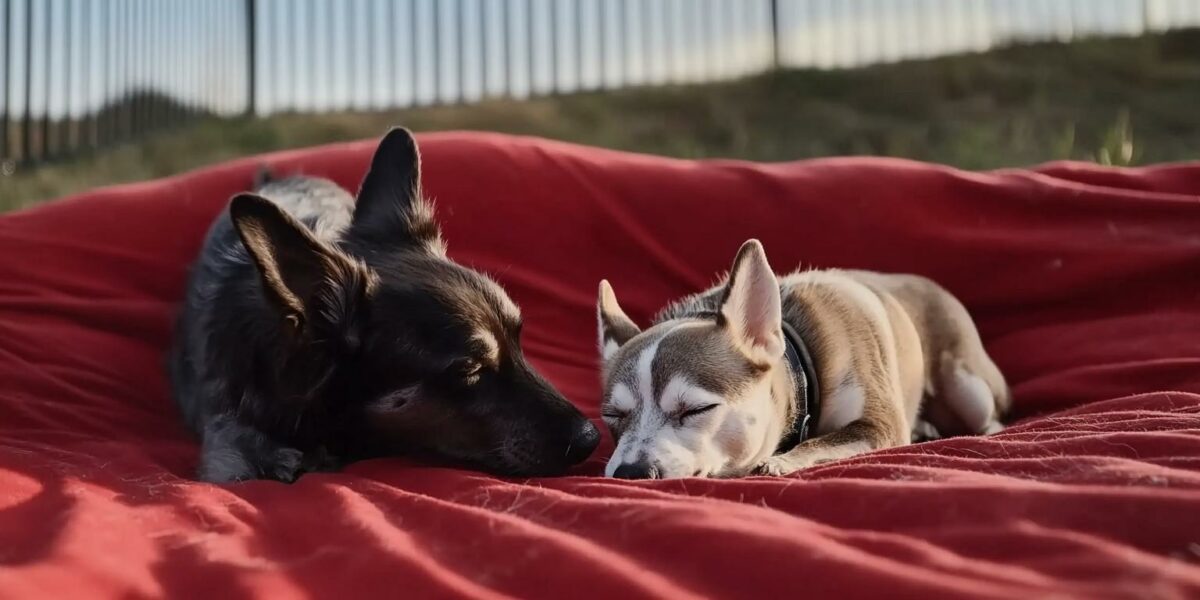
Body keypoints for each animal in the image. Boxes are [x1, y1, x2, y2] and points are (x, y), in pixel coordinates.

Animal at [597, 238, 1003, 477]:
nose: (630, 473)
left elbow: (822, 442)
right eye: (613, 416)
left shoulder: (879, 426)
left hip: (968, 389)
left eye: (697, 410)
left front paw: (780, 461)